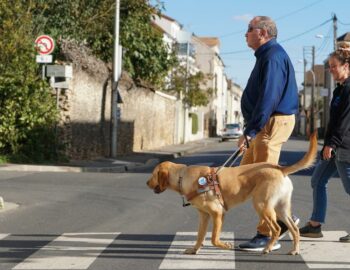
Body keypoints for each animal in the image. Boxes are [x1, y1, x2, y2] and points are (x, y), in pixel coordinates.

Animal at [146, 133, 316, 255]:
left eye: (153, 174)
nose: (146, 183)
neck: (183, 176)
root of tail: (280, 168)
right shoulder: (204, 216)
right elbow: (200, 236)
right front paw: (194, 250)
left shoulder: (217, 213)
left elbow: (214, 238)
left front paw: (225, 245)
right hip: (281, 208)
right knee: (294, 229)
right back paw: (295, 250)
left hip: (262, 206)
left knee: (276, 229)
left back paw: (267, 248)